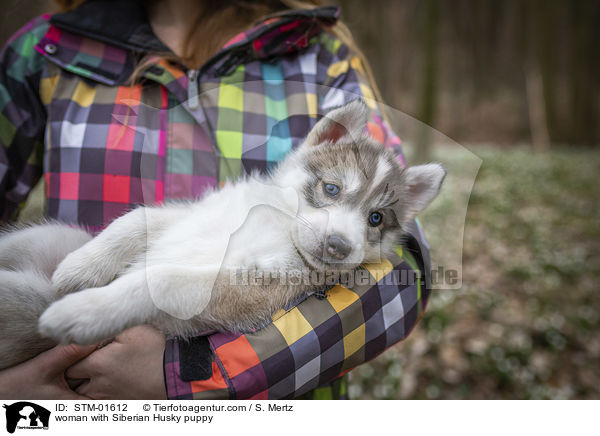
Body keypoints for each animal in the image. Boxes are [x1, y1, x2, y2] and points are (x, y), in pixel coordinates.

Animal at [0, 100, 442, 370]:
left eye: (376, 219)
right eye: (332, 189)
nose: (339, 247)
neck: (277, 222)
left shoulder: (250, 291)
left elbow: (162, 278)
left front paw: (84, 311)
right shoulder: (191, 214)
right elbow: (137, 218)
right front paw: (82, 267)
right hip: (44, 238)